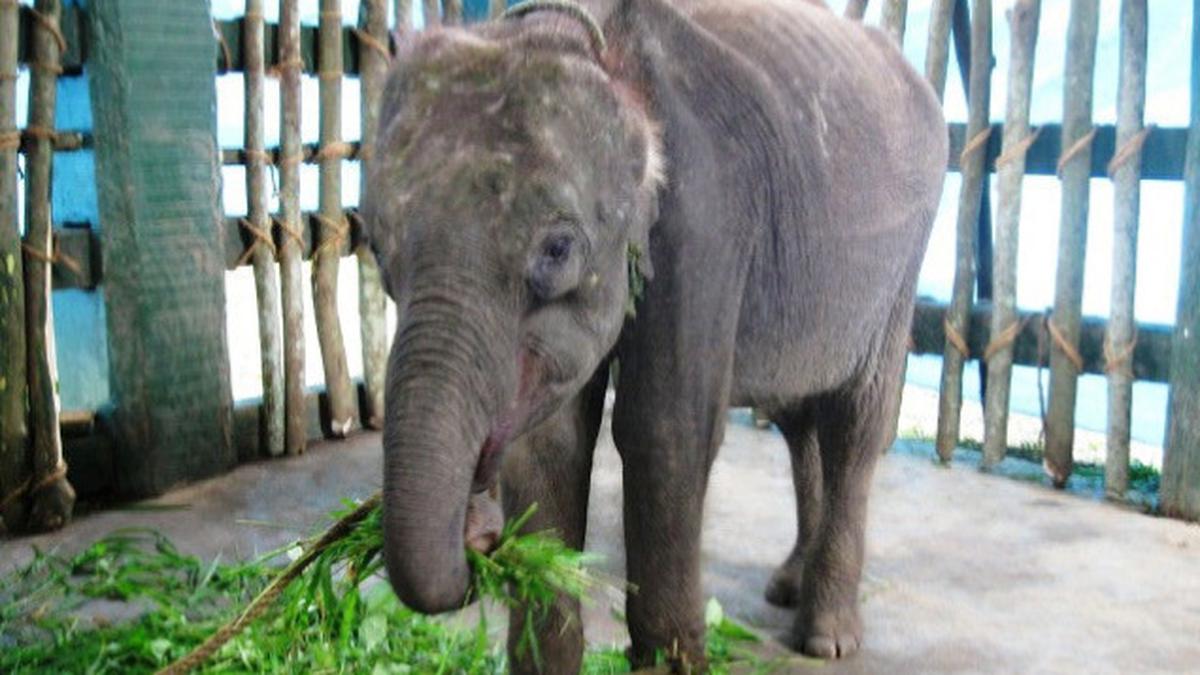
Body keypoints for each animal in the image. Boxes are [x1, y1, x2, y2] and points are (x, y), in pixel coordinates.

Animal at [361, 0, 946, 671]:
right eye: (374, 245)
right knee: (801, 419)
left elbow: (663, 433)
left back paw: (827, 638)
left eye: (557, 250)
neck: (589, 42)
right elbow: (550, 445)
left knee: (855, 422)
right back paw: (787, 587)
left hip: (901, 269)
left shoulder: (705, 219)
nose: (478, 535)